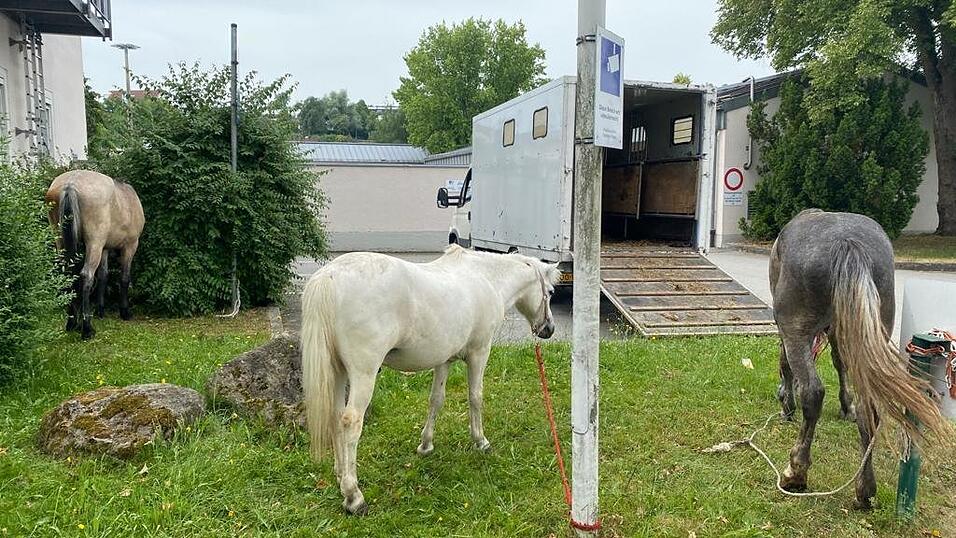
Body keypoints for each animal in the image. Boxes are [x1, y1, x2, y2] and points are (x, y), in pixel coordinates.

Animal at [46, 170, 145, 340]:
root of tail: (70, 184)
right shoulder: (130, 246)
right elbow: (124, 279)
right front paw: (125, 312)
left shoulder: (104, 249)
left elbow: (103, 276)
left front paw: (100, 310)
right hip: (94, 244)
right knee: (87, 275)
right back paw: (86, 328)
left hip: (61, 240)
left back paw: (72, 322)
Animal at [301, 244, 561, 515]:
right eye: (551, 292)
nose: (548, 329)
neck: (487, 278)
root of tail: (330, 276)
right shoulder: (479, 353)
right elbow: (475, 397)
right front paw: (481, 441)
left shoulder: (443, 360)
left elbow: (436, 400)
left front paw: (426, 445)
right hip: (363, 374)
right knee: (351, 422)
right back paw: (354, 497)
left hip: (338, 373)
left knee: (335, 417)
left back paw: (341, 476)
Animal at [770, 209, 948, 508]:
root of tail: (847, 243)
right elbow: (840, 363)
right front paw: (847, 406)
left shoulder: (789, 331)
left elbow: (786, 363)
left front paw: (786, 403)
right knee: (870, 408)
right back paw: (865, 490)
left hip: (797, 331)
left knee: (813, 393)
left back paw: (796, 473)